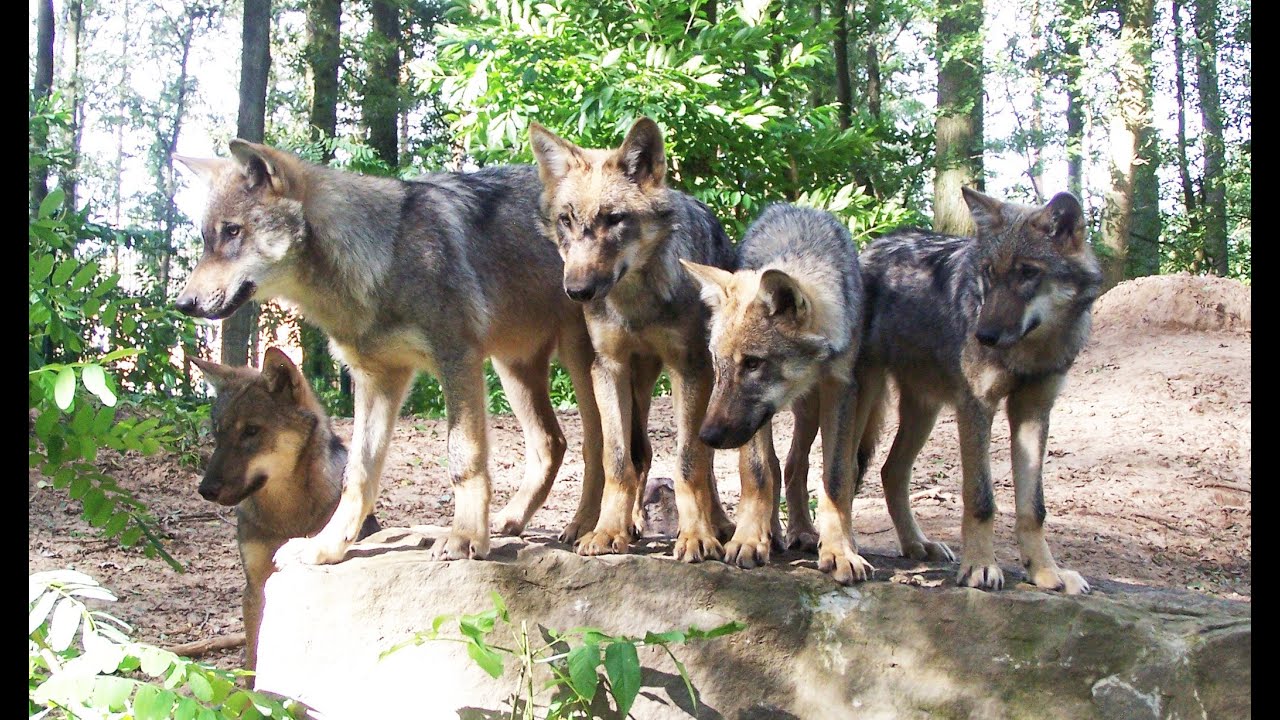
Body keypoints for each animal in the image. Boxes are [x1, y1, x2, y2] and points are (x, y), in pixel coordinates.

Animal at [173, 140, 606, 566]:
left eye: (232, 231)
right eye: (206, 239)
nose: (183, 303)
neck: (382, 262)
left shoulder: (458, 360)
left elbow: (463, 458)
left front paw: (464, 537)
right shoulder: (377, 380)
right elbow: (357, 474)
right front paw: (328, 546)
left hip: (581, 361)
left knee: (599, 444)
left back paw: (588, 528)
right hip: (512, 368)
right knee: (552, 443)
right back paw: (511, 520)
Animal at [191, 347, 382, 672]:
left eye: (251, 431)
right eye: (218, 434)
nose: (206, 490)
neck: (285, 518)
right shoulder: (255, 587)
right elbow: (254, 660)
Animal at [529, 117, 737, 561]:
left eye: (614, 219)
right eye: (566, 221)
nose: (577, 291)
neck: (636, 302)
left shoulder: (689, 370)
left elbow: (690, 462)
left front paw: (697, 536)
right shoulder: (608, 368)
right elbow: (618, 460)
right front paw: (608, 531)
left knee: (704, 460)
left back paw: (720, 524)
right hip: (636, 385)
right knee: (641, 454)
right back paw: (613, 524)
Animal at [854, 187, 1102, 594]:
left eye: (1028, 272)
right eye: (987, 272)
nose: (982, 335)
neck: (1030, 351)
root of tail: (870, 247)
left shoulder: (1034, 411)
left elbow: (1034, 507)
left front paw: (1045, 572)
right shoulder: (976, 406)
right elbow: (980, 499)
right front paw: (981, 567)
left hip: (924, 410)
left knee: (891, 472)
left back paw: (917, 544)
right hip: (863, 400)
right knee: (841, 473)